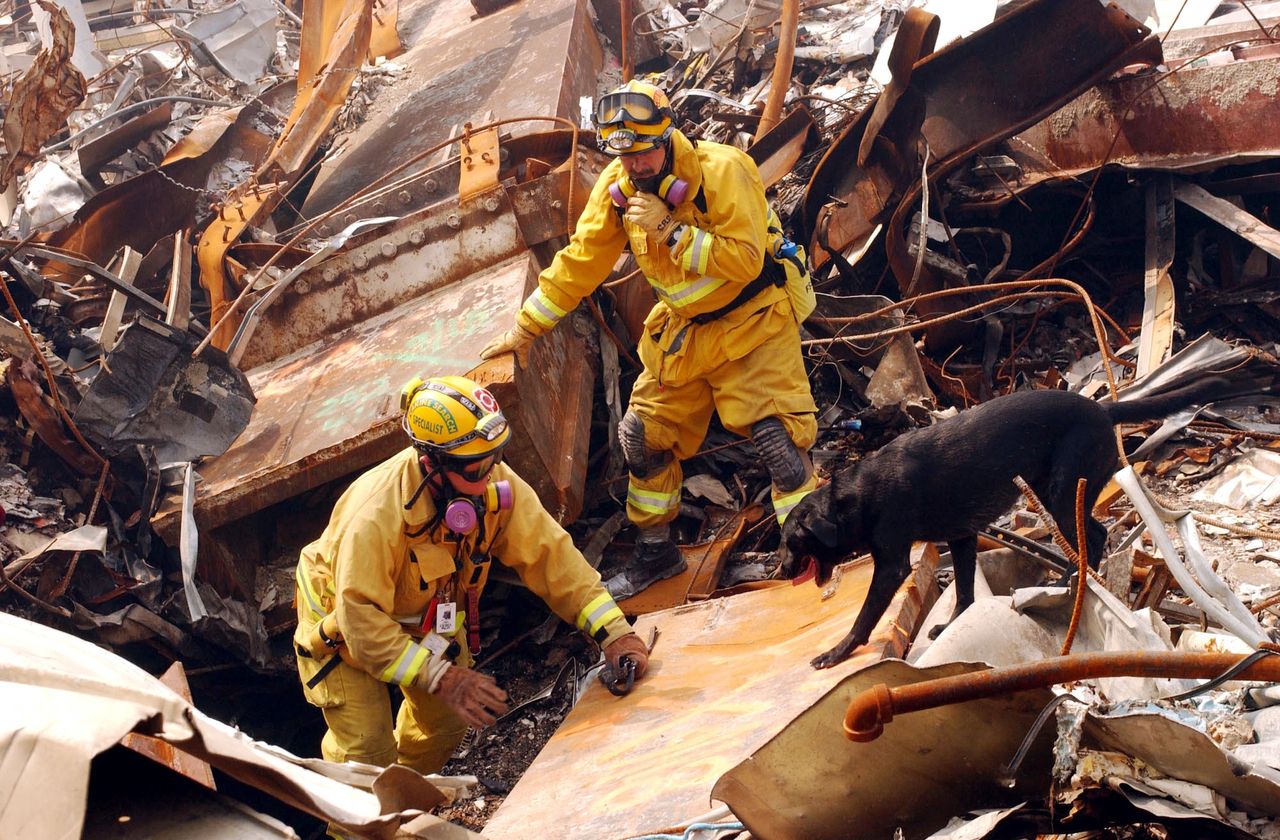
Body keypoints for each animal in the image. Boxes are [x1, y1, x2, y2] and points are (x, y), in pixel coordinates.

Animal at [783, 376, 1233, 665]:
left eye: (790, 543)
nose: (783, 571)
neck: (857, 495)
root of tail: (1103, 407)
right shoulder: (962, 536)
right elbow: (965, 592)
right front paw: (953, 626)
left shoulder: (892, 564)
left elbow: (864, 617)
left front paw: (837, 651)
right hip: (1054, 492)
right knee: (1094, 532)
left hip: (1062, 492)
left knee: (1094, 534)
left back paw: (1068, 582)